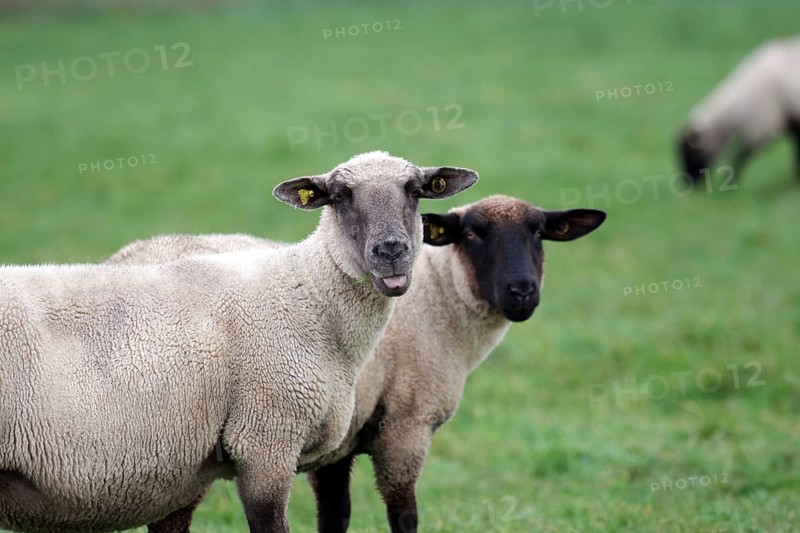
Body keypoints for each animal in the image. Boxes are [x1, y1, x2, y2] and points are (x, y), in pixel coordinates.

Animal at [107, 194, 606, 533]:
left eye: (539, 233)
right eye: (471, 234)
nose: (522, 291)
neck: (439, 298)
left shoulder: (339, 442)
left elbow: (336, 516)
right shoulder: (406, 424)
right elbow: (403, 516)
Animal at [678, 36, 800, 185]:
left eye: (690, 152)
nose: (687, 183)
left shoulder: (763, 124)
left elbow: (742, 155)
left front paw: (729, 181)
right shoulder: (787, 122)